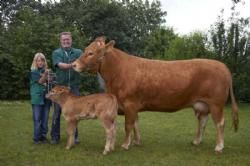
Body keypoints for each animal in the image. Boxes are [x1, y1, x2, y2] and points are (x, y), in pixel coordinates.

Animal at [72, 36, 238, 153]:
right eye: (86, 49)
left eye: (91, 53)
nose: (74, 64)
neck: (117, 73)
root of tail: (221, 65)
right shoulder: (132, 106)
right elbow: (136, 124)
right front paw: (137, 142)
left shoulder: (129, 103)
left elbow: (128, 125)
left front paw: (125, 145)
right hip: (202, 104)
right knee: (203, 122)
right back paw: (197, 141)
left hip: (216, 104)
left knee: (220, 123)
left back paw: (219, 147)